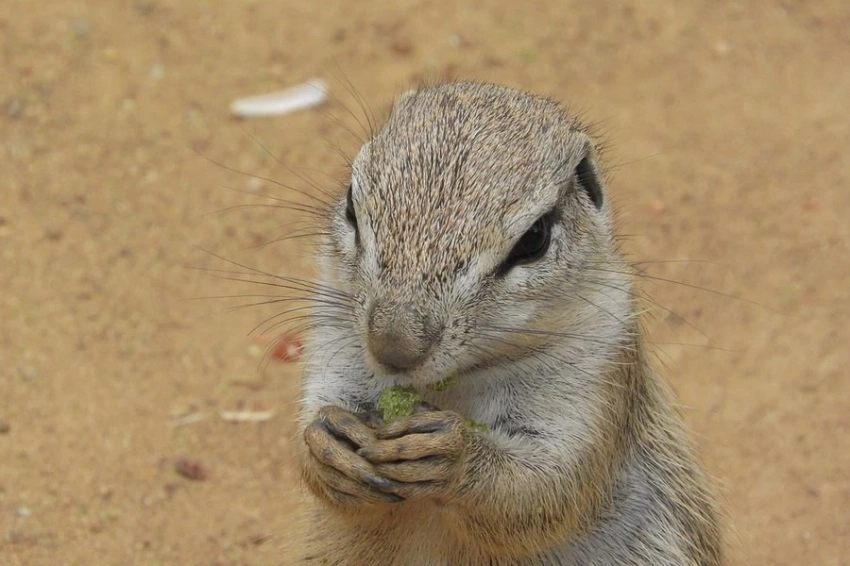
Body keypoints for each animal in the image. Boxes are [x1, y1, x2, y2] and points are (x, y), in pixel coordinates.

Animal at [294, 82, 724, 564]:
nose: (393, 348)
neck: (451, 384)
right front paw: (326, 446)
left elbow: (546, 489)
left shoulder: (597, 372)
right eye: (351, 203)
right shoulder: (336, 338)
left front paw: (454, 454)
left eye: (534, 239)